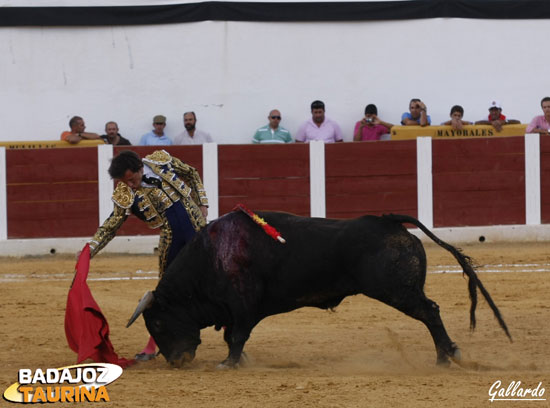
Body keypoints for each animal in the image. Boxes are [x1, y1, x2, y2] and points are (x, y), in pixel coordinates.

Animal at [128, 212, 512, 368]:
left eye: (158, 323)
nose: (176, 362)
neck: (211, 257)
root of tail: (388, 221)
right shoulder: (236, 310)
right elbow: (231, 336)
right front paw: (238, 361)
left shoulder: (243, 306)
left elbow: (236, 337)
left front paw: (229, 364)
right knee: (430, 313)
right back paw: (444, 356)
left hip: (396, 291)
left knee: (430, 312)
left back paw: (447, 355)